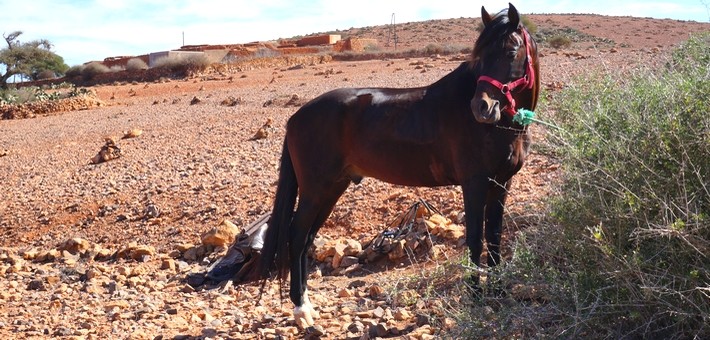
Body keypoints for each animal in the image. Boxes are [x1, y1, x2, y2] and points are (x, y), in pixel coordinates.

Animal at [258, 1, 544, 326]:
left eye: (511, 51)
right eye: (480, 56)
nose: (481, 107)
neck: (501, 127)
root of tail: (295, 118)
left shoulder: (501, 184)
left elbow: (495, 238)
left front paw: (497, 293)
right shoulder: (474, 184)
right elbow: (475, 240)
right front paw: (475, 298)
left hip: (332, 188)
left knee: (306, 239)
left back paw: (306, 304)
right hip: (315, 190)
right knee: (296, 236)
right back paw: (301, 310)